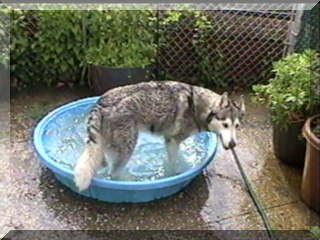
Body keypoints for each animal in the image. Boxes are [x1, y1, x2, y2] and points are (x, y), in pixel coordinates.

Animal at [74, 80, 245, 191]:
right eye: (225, 125)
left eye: (236, 126)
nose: (233, 144)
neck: (197, 106)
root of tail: (101, 102)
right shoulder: (173, 141)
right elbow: (174, 165)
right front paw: (174, 174)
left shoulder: (170, 141)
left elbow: (176, 159)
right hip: (127, 148)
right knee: (114, 173)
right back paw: (131, 182)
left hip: (104, 148)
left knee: (103, 166)